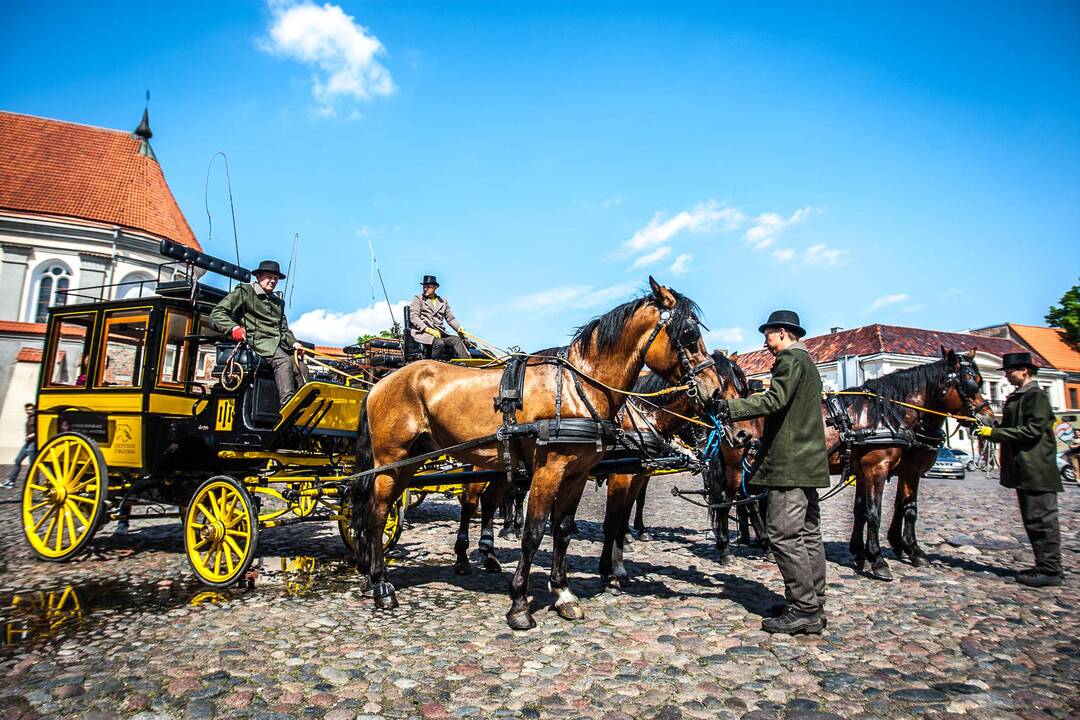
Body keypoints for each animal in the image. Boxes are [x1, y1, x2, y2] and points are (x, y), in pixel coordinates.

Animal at [352, 278, 725, 626]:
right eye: (689, 335)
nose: (716, 393)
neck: (578, 387)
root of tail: (379, 383)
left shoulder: (577, 475)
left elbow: (563, 531)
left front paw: (563, 593)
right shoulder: (549, 471)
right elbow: (533, 533)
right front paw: (519, 603)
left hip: (411, 463)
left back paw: (375, 576)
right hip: (391, 461)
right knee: (379, 514)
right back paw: (382, 585)